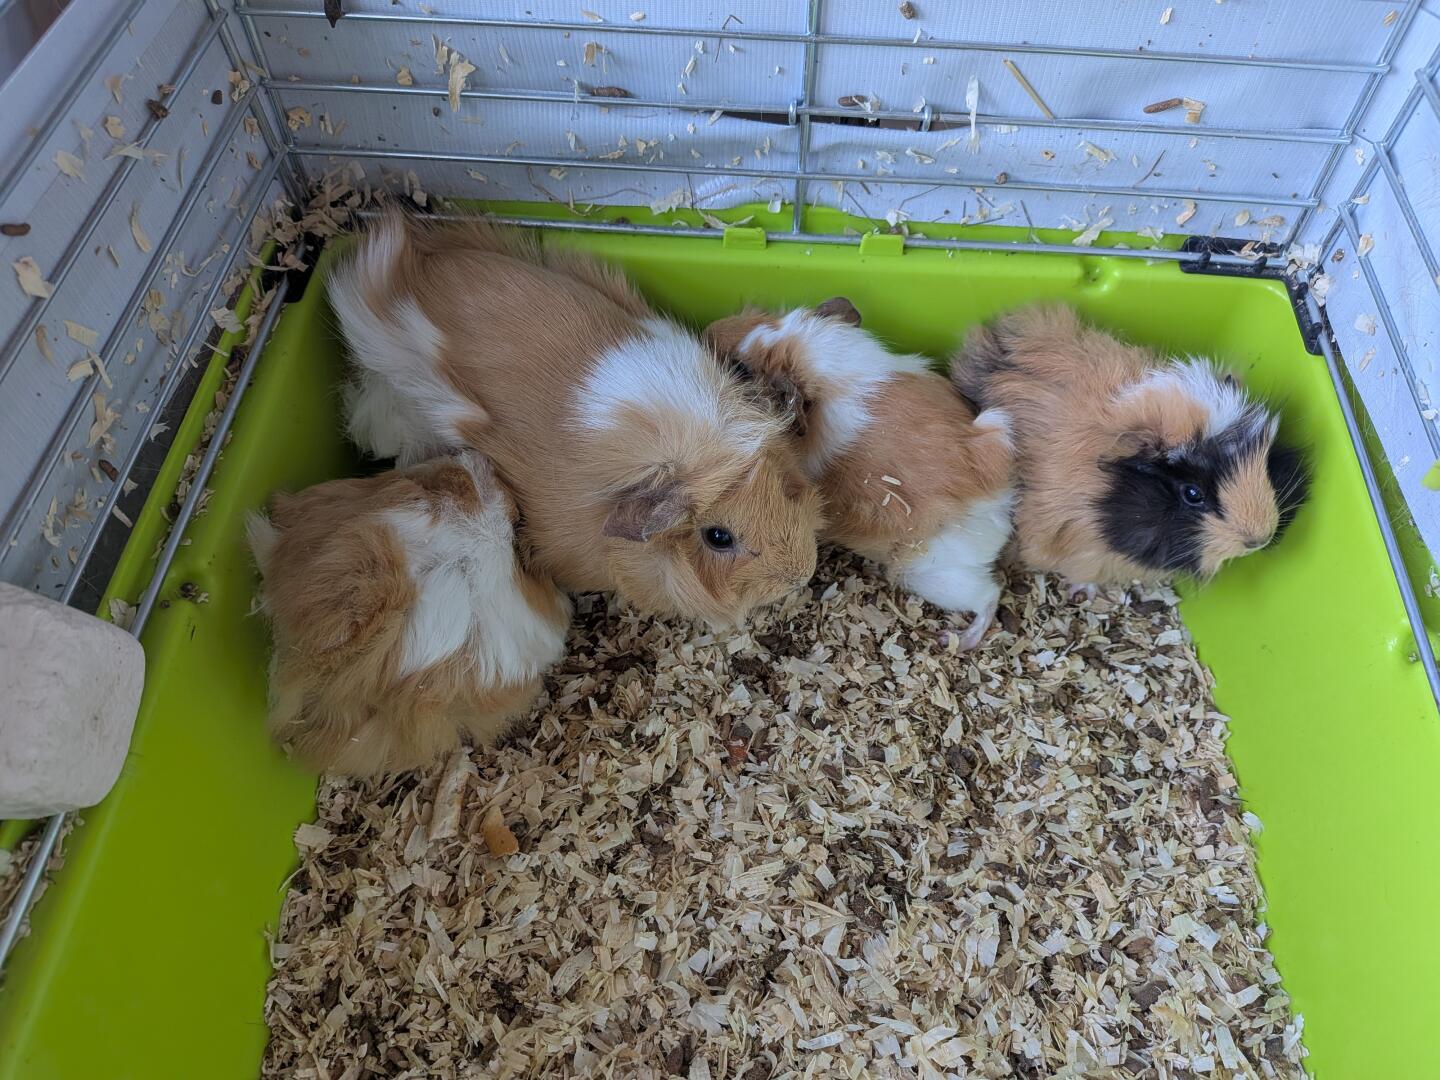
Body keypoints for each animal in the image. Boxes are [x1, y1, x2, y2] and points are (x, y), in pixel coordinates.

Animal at [705, 299, 1016, 650]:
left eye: (741, 367)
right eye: (766, 314)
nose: (709, 329)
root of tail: (999, 503)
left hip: (929, 575)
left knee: (989, 596)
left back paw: (955, 640)